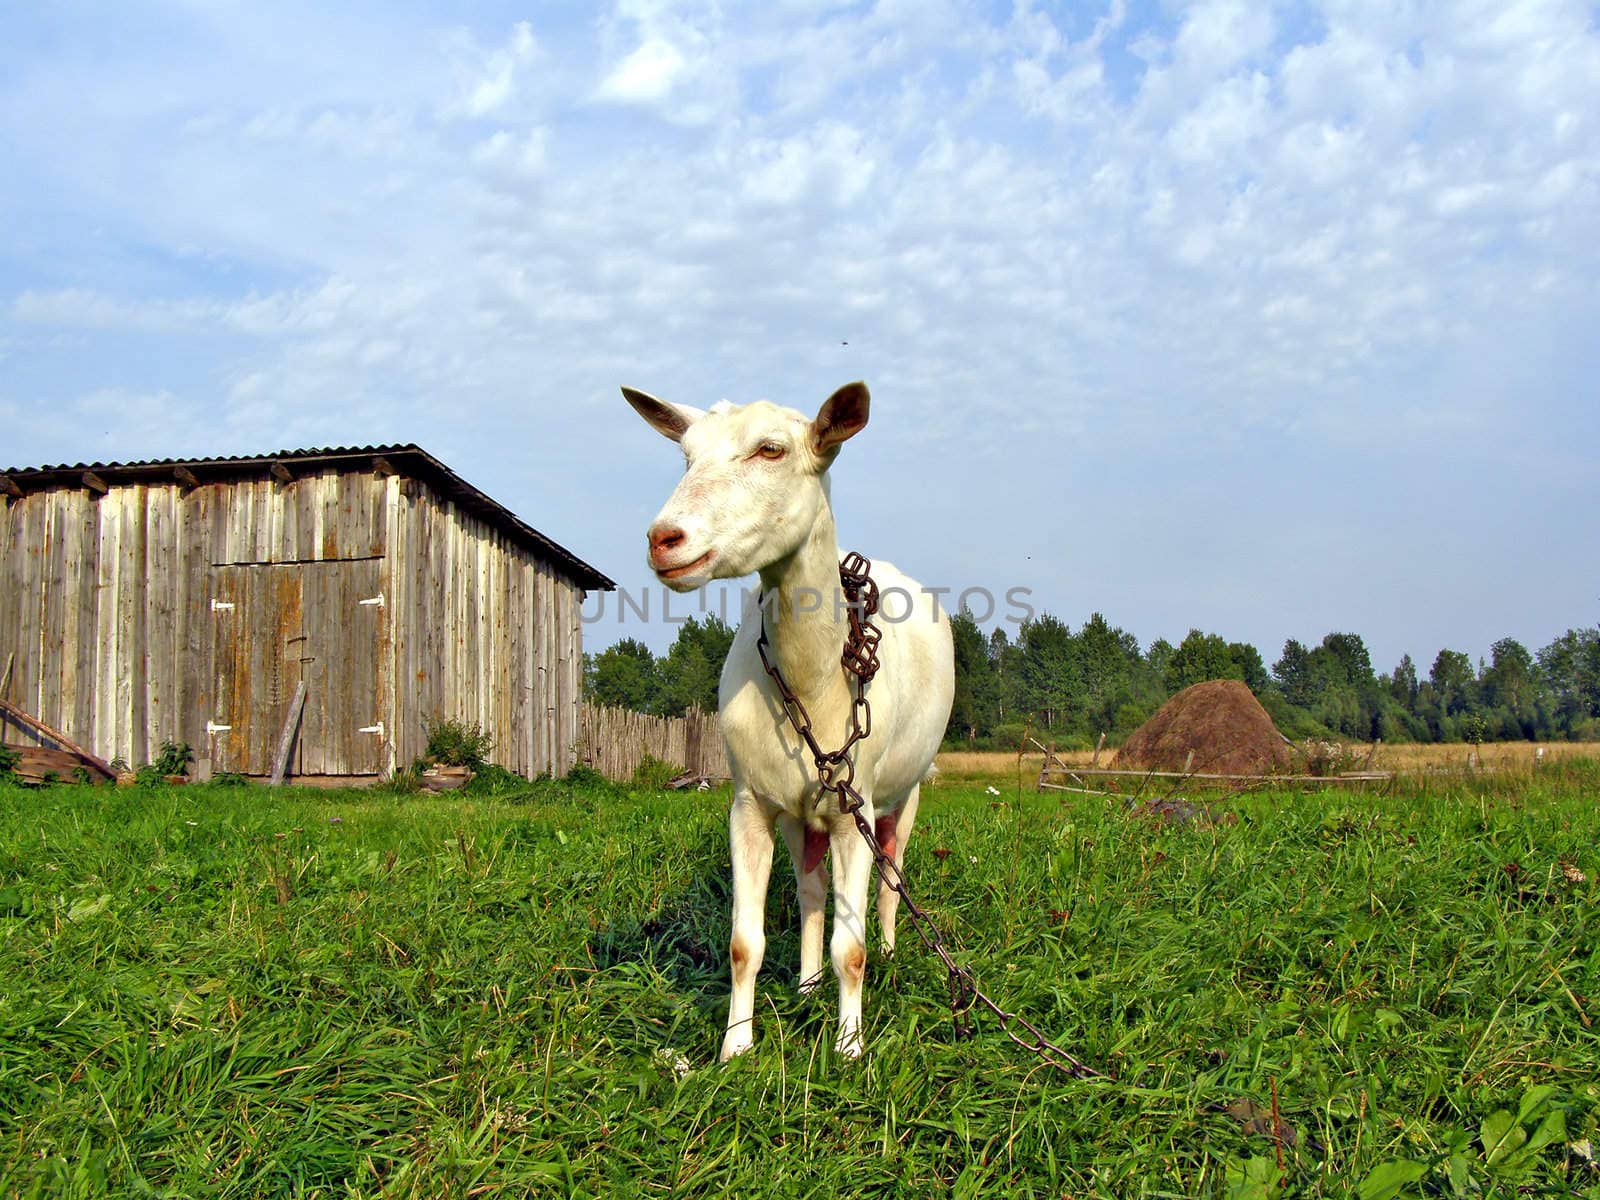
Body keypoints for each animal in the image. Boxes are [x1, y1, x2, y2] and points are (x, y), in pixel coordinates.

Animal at [620, 377, 947, 1062]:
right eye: (686, 455)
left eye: (770, 449)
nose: (664, 539)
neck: (815, 677)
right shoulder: (750, 801)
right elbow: (745, 943)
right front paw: (735, 1049)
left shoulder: (855, 805)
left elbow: (853, 949)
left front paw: (848, 1050)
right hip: (804, 807)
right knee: (812, 890)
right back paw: (807, 983)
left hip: (905, 790)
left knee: (890, 877)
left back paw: (889, 952)